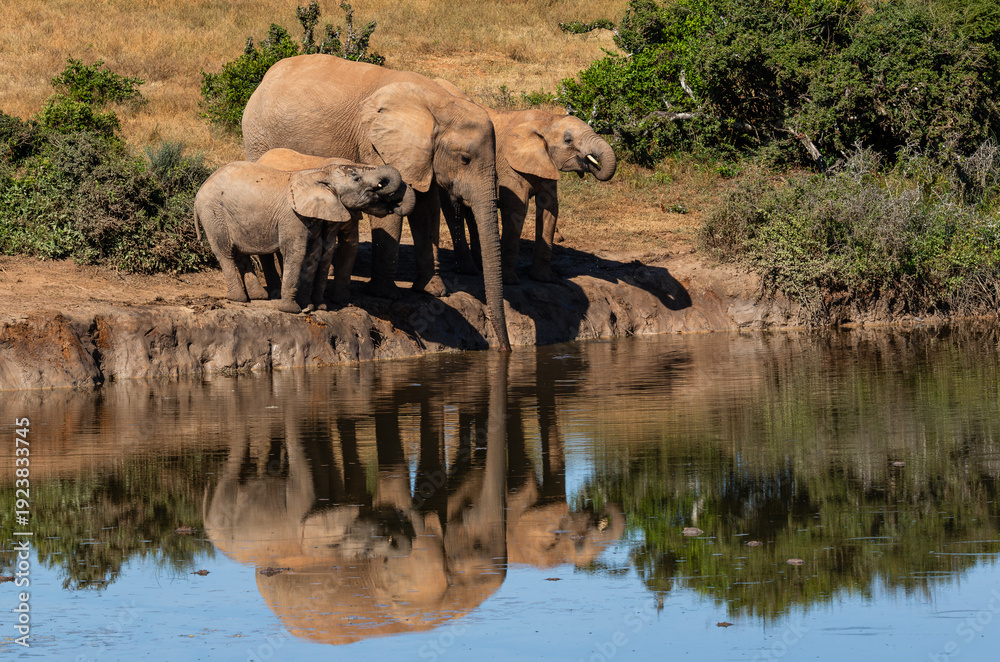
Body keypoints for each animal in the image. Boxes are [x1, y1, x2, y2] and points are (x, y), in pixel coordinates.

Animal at [194, 159, 413, 313]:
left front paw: (315, 307)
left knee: (240, 253)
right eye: (356, 178)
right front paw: (292, 310)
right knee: (225, 252)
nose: (393, 202)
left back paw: (258, 297)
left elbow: (317, 255)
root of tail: (201, 188)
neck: (320, 173)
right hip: (213, 213)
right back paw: (238, 298)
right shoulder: (292, 216)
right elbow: (296, 253)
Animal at [241, 54, 511, 350]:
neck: (437, 103)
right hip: (257, 137)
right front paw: (386, 294)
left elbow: (427, 208)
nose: (505, 349)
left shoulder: (422, 155)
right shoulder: (374, 142)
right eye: (465, 159)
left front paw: (433, 290)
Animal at [433, 78, 617, 283]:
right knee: (454, 209)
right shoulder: (510, 165)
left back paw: (481, 265)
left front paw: (544, 279)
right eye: (568, 140)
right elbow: (517, 208)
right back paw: (468, 270)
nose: (591, 163)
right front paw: (509, 281)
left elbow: (549, 209)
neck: (547, 121)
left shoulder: (546, 164)